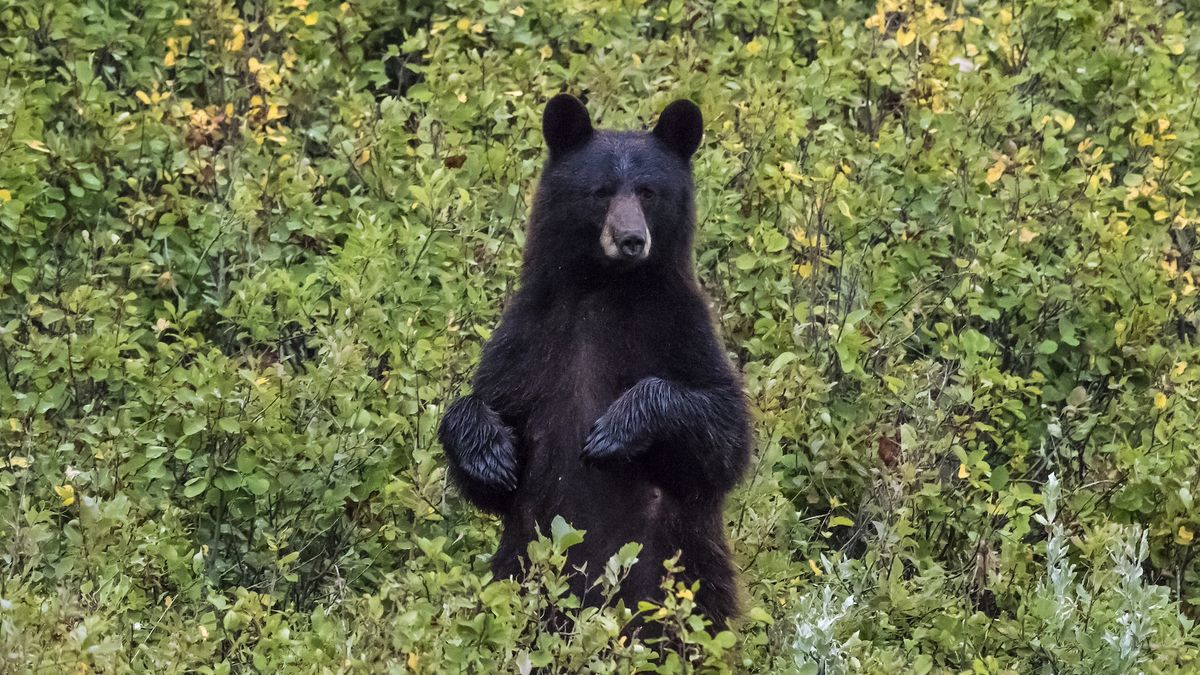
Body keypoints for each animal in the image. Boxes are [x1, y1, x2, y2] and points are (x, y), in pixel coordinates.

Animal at [436, 93, 744, 624]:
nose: (631, 239)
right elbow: (488, 412)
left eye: (648, 191)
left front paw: (614, 430)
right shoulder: (531, 335)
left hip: (679, 575)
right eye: (600, 191)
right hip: (517, 568)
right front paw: (490, 454)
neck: (606, 288)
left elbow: (724, 431)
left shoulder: (680, 328)